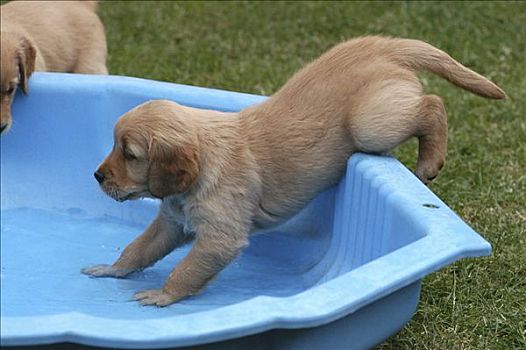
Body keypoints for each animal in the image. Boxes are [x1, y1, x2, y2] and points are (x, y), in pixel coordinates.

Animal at [83, 36, 508, 306]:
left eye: (130, 154)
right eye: (116, 146)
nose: (97, 176)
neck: (204, 165)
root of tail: (380, 45)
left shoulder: (220, 236)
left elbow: (187, 269)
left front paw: (164, 295)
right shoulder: (172, 222)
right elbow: (140, 248)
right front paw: (114, 269)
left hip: (372, 124)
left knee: (433, 104)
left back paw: (430, 160)